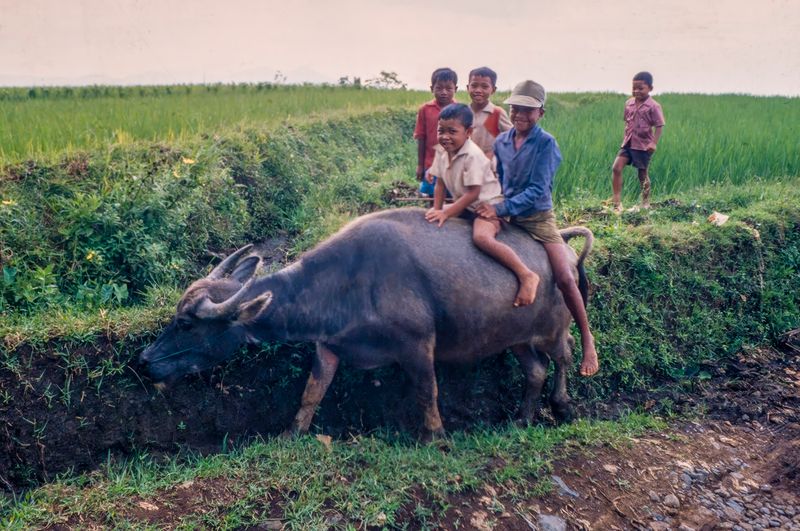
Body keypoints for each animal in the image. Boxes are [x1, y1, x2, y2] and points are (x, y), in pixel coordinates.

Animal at [138, 208, 592, 440]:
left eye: (186, 324)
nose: (144, 360)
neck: (348, 282)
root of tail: (565, 254)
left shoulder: (418, 346)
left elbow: (428, 392)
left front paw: (436, 436)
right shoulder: (328, 347)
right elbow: (311, 393)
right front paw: (292, 433)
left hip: (554, 329)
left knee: (563, 357)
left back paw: (562, 403)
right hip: (514, 338)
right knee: (534, 369)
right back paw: (523, 418)